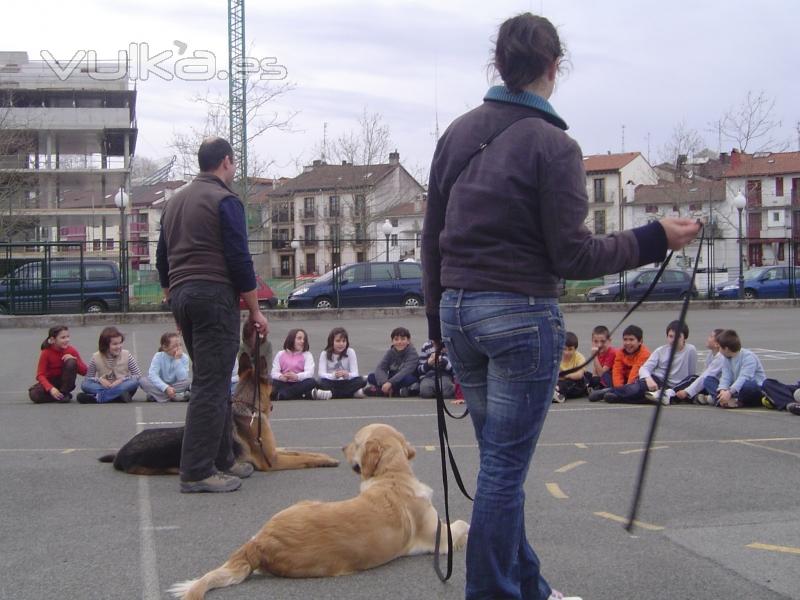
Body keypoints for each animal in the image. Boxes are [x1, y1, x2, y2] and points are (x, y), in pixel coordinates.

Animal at [98, 352, 340, 474]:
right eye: (272, 383)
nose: (278, 394)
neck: (249, 409)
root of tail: (121, 451)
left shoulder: (275, 451)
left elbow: (301, 452)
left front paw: (325, 456)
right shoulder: (273, 461)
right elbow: (304, 458)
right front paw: (325, 461)